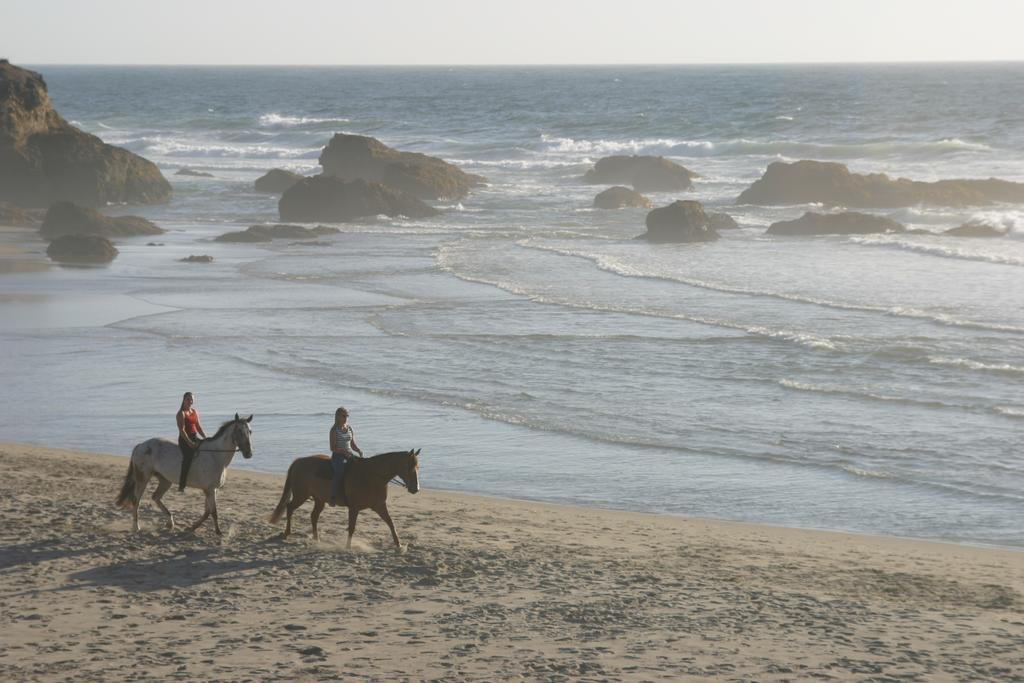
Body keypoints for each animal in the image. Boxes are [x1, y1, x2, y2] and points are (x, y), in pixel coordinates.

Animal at [114, 417, 251, 532]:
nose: (249, 453)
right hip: (143, 478)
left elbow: (207, 511)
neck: (216, 456)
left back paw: (170, 522)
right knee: (136, 500)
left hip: (165, 480)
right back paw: (136, 527)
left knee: (156, 497)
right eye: (239, 431)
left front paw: (192, 527)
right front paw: (218, 533)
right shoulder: (210, 489)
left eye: (250, 431)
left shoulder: (211, 490)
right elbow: (214, 512)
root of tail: (141, 446)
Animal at [270, 448, 421, 548]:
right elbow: (352, 527)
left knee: (313, 516)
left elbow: (391, 523)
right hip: (301, 495)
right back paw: (287, 533)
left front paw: (399, 545)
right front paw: (348, 547)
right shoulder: (354, 508)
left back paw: (316, 538)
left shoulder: (380, 506)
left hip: (319, 500)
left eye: (417, 467)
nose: (416, 488)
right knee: (289, 508)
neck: (371, 476)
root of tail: (298, 461)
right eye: (409, 467)